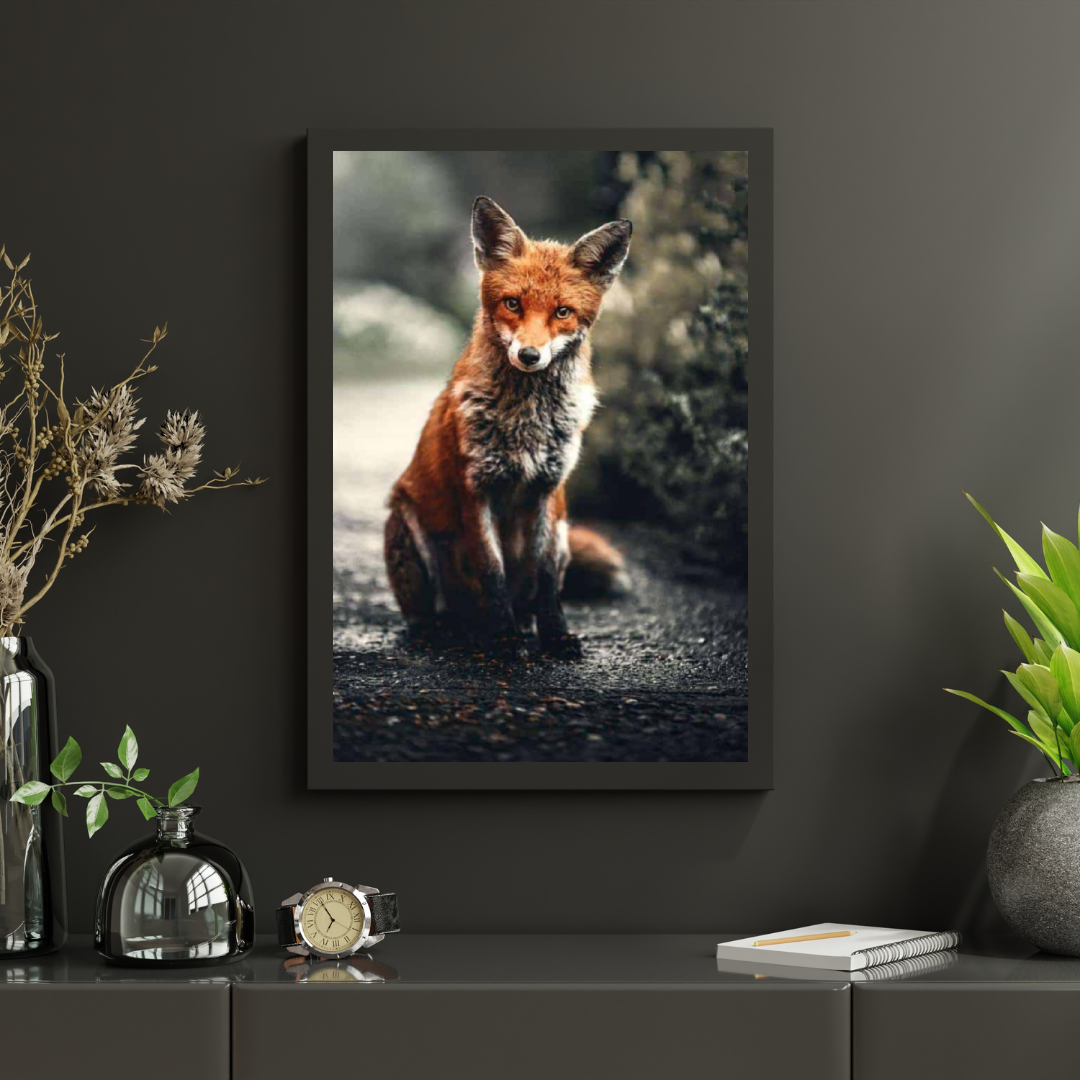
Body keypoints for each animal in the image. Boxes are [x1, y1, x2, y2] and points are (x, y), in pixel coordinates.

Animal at [384, 196, 632, 659]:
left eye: (562, 312)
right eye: (513, 304)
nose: (530, 355)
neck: (526, 421)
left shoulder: (549, 490)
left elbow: (547, 579)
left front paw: (555, 635)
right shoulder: (475, 488)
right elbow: (492, 571)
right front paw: (504, 639)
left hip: (565, 532)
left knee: (530, 595)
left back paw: (523, 623)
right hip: (406, 525)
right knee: (430, 613)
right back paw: (448, 631)